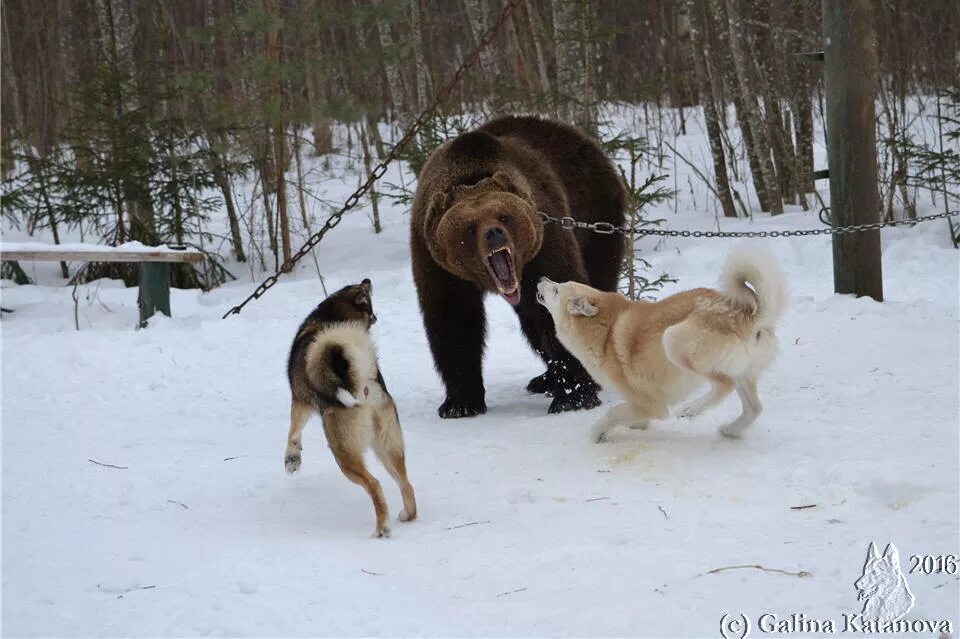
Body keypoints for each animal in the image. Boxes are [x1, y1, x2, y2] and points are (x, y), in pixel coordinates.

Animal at [286, 282, 418, 536]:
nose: (367, 280)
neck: (330, 316)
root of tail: (363, 382)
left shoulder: (300, 401)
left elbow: (293, 431)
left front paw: (292, 460)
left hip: (344, 453)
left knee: (374, 484)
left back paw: (381, 529)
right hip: (389, 446)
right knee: (406, 483)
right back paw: (407, 516)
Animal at [408, 115, 628, 418]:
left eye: (504, 216)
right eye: (469, 227)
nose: (494, 233)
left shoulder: (545, 240)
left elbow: (557, 306)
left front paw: (573, 396)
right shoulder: (437, 264)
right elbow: (453, 321)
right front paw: (460, 403)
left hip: (595, 218)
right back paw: (543, 379)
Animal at [536, 248, 784, 442]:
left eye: (557, 290)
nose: (541, 277)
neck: (605, 332)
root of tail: (749, 314)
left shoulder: (650, 405)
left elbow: (612, 413)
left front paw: (598, 433)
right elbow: (631, 417)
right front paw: (636, 425)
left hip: (672, 340)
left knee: (725, 384)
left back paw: (692, 409)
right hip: (743, 372)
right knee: (754, 408)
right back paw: (730, 430)